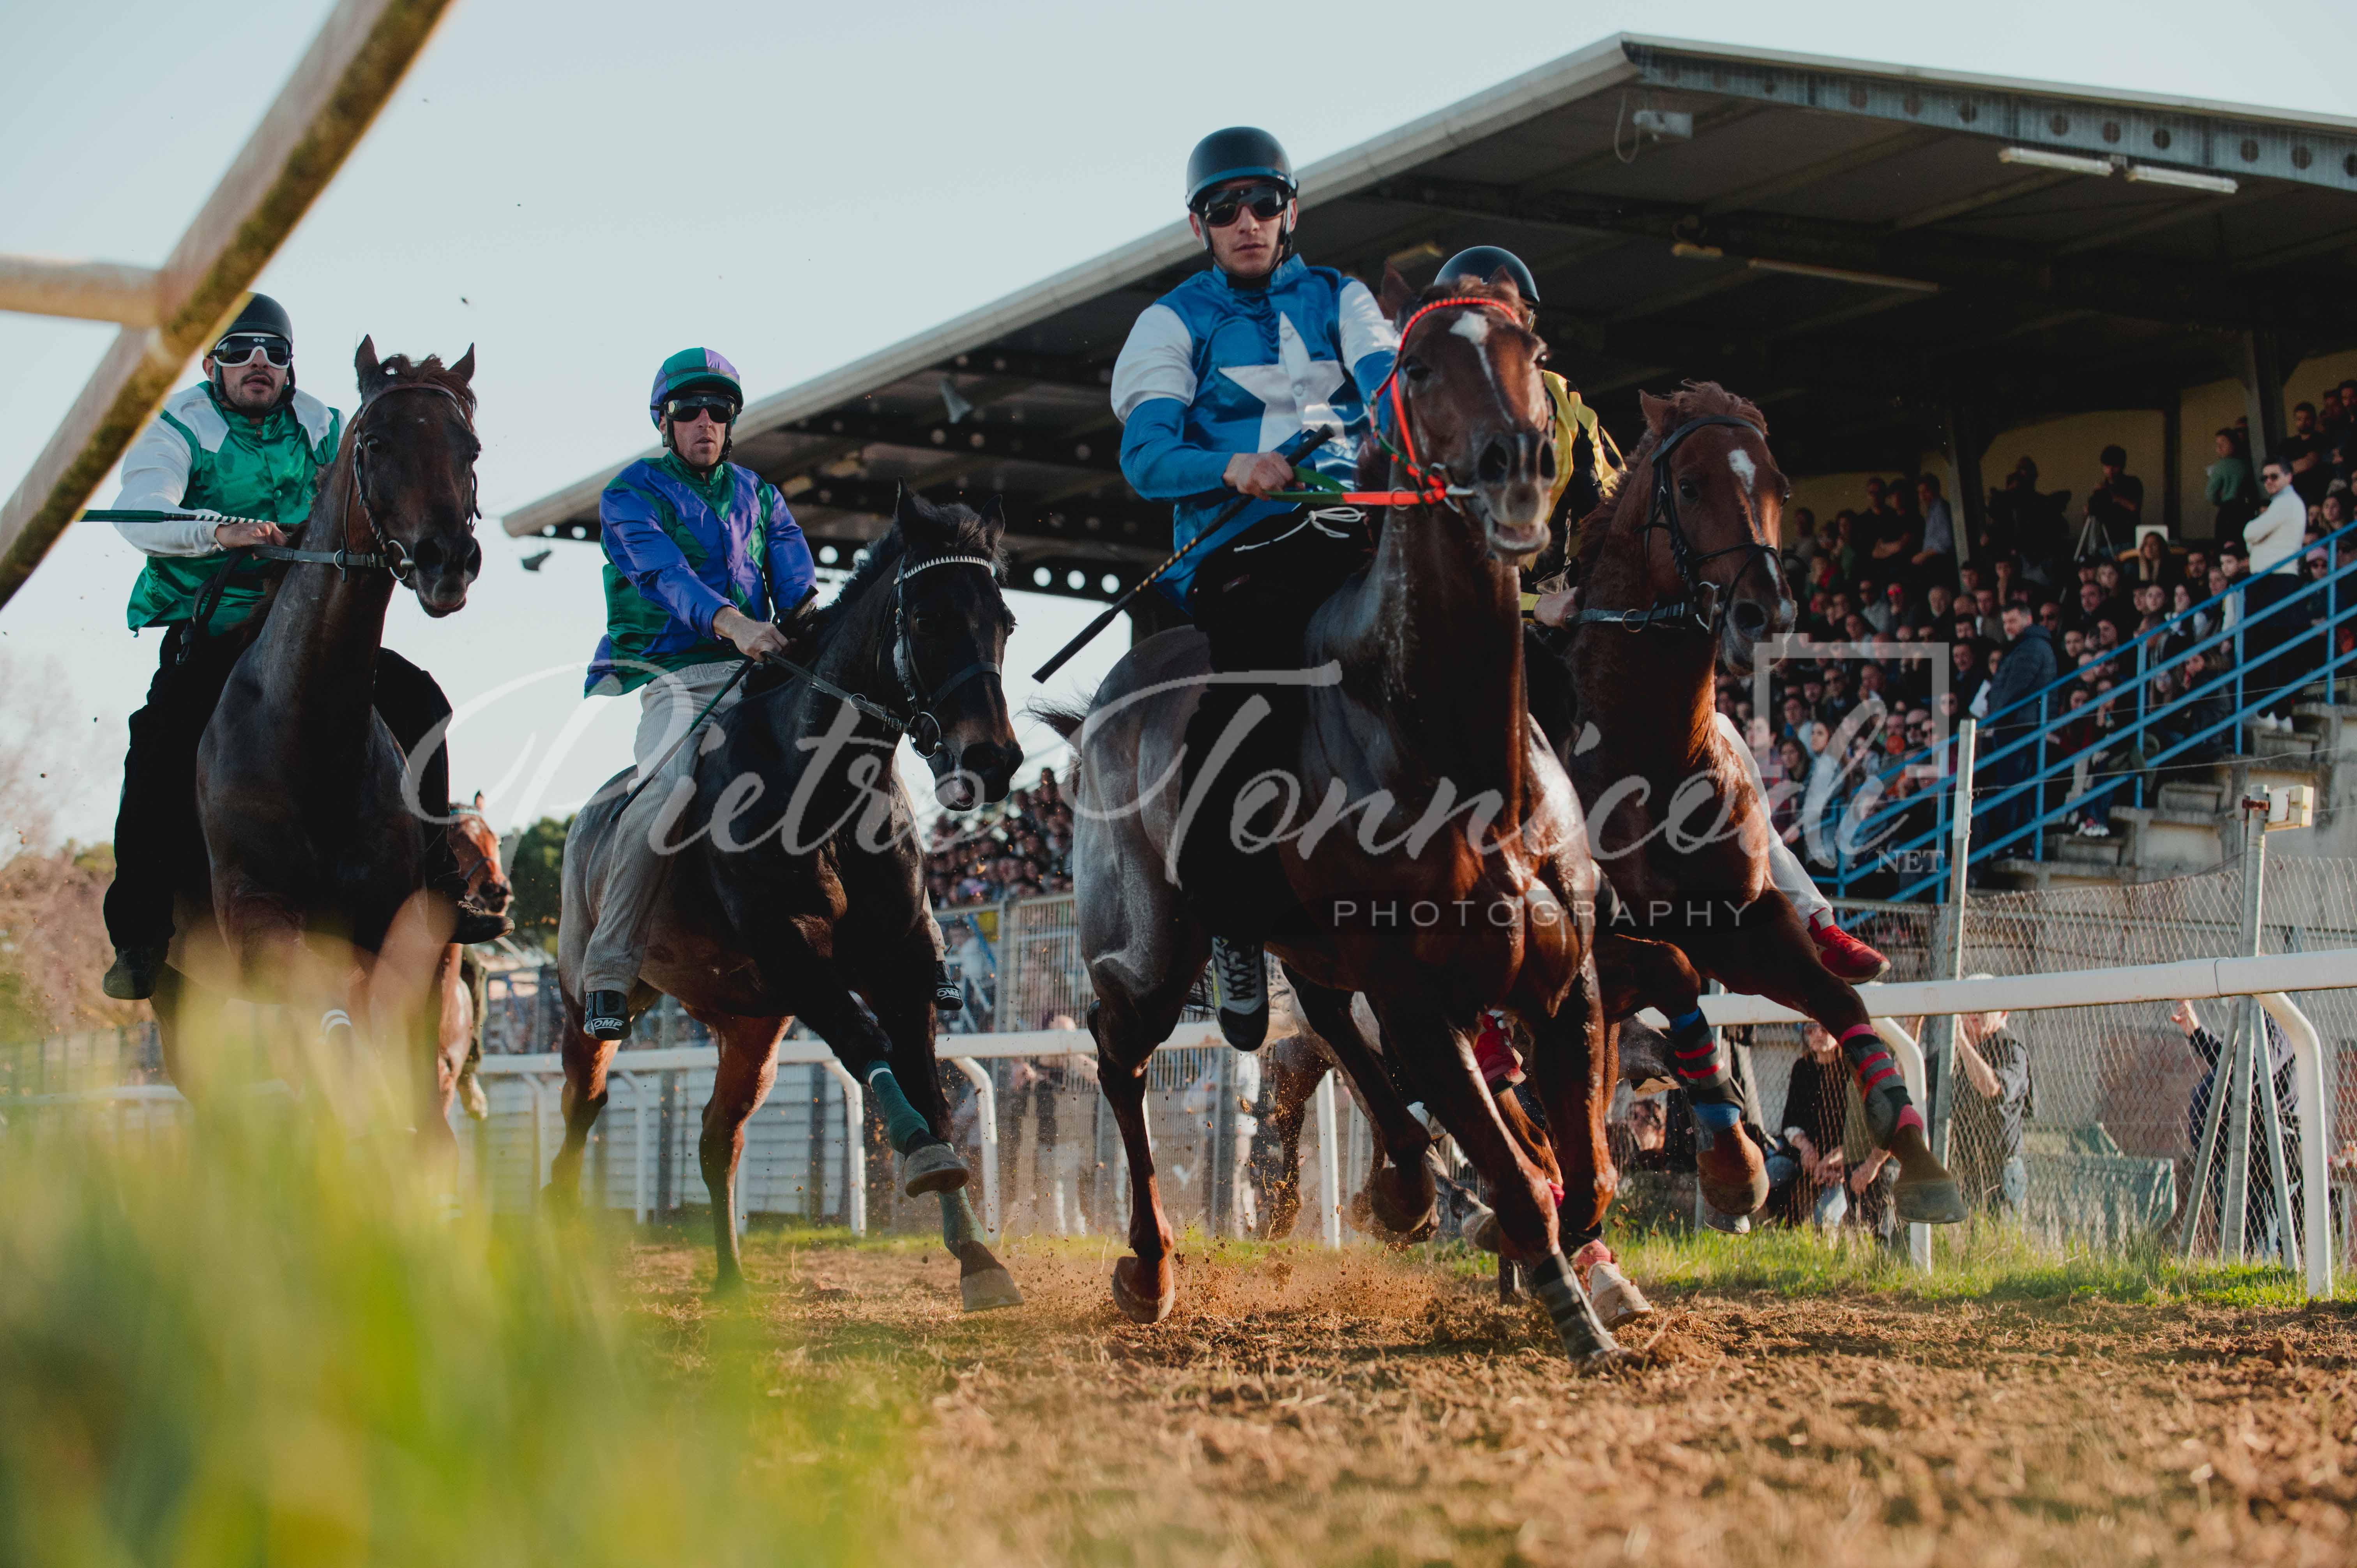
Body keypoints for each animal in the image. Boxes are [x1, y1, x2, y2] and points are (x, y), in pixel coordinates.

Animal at [1056, 278, 1631, 1358]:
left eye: (1529, 348)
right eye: (1418, 368)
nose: (1519, 470)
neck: (1460, 760)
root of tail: (1100, 705)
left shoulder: (1561, 979)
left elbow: (1585, 1174)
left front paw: (1526, 1236)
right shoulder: (1414, 994)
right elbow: (1520, 1174)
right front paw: (1567, 1303)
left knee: (1319, 1020)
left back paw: (1401, 1183)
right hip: (1149, 945)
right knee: (1118, 1048)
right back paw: (1150, 1266)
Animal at [1555, 384, 1961, 1217]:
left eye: (1779, 485)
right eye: (1687, 486)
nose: (1762, 613)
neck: (1647, 758)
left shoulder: (1738, 922)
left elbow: (1838, 1002)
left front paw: (1914, 1151)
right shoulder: (1594, 945)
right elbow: (1675, 974)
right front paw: (1732, 1161)